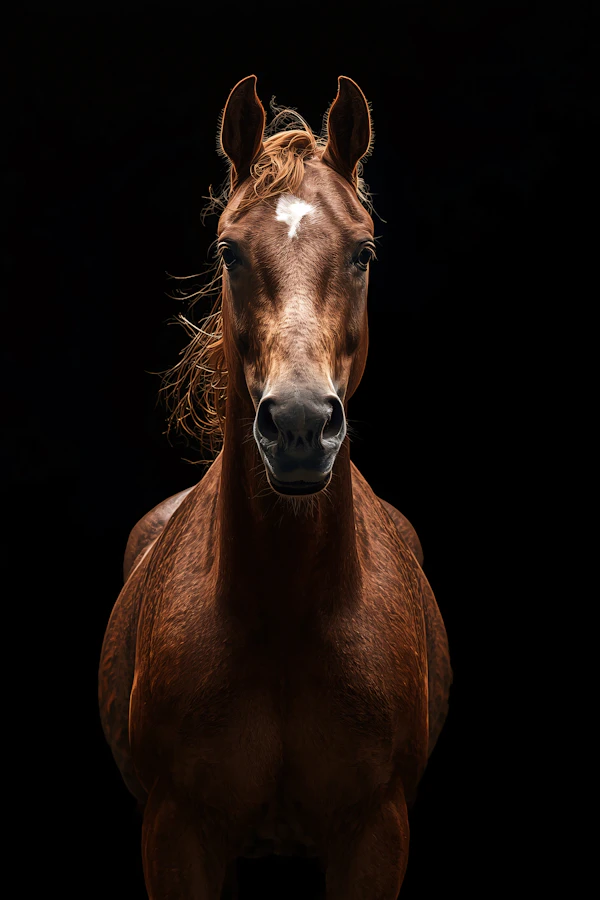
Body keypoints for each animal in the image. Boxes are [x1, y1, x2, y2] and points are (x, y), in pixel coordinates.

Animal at [99, 74, 452, 899]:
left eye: (362, 252)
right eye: (229, 251)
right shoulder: (177, 833)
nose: (297, 423)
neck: (289, 615)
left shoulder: (376, 833)